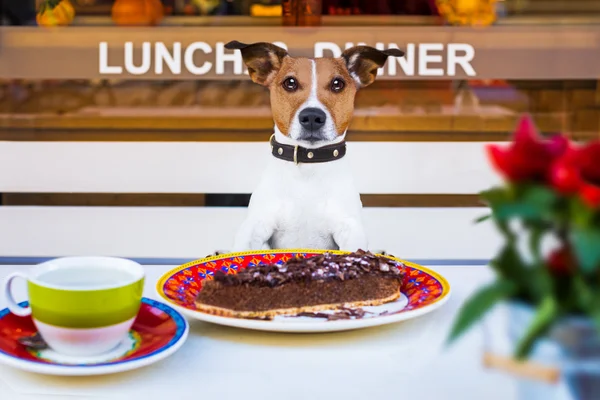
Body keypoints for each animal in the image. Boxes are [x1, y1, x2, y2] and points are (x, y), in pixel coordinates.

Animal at [220, 40, 404, 253]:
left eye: (337, 84)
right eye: (290, 83)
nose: (312, 117)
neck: (308, 168)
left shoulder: (350, 231)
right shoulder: (254, 228)